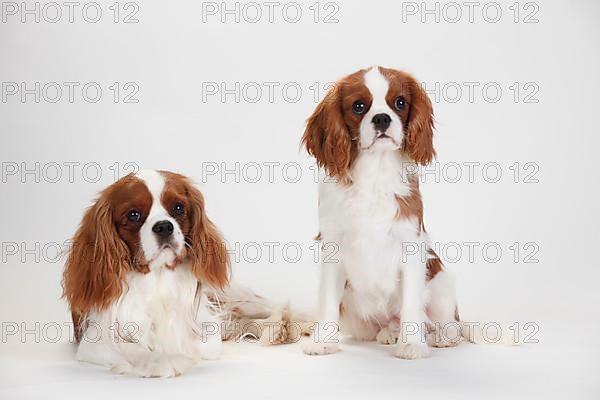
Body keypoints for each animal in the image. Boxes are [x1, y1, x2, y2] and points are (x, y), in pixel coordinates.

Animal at [63, 170, 302, 376]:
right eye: (133, 215)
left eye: (178, 208)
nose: (164, 226)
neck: (158, 278)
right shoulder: (94, 341)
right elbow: (131, 348)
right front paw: (163, 360)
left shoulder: (205, 329)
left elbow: (201, 340)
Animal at [302, 65, 462, 360]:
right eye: (358, 106)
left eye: (400, 103)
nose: (382, 119)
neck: (375, 172)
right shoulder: (333, 246)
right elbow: (327, 302)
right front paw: (323, 342)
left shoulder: (411, 246)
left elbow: (411, 303)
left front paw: (412, 344)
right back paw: (391, 332)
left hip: (442, 284)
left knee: (449, 322)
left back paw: (440, 337)